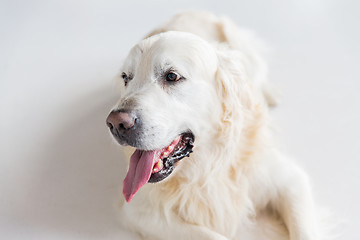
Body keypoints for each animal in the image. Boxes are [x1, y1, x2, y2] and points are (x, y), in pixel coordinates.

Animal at [105, 11, 320, 240]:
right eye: (126, 78)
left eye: (172, 76)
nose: (116, 123)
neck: (208, 165)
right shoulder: (139, 210)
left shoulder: (289, 180)